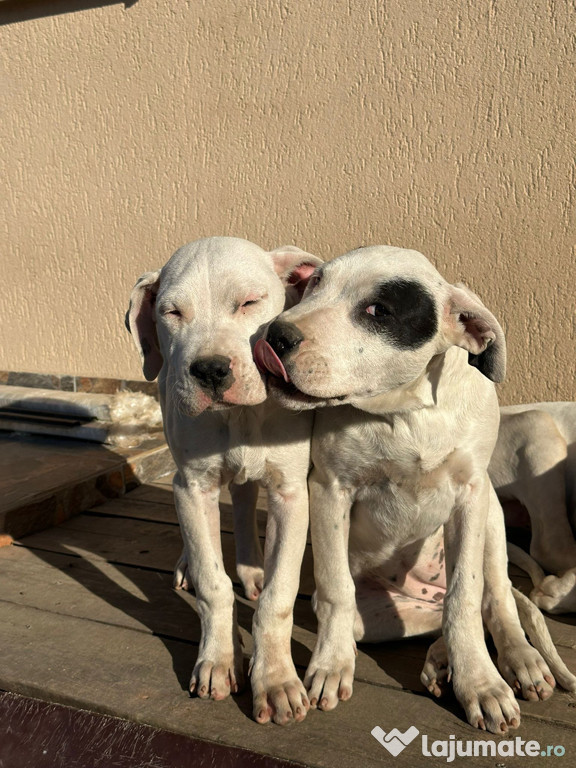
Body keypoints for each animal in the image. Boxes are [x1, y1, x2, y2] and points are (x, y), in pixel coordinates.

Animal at [126, 236, 322, 728]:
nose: (211, 370)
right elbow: (213, 584)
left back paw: (251, 569)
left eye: (250, 302)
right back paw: (188, 566)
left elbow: (279, 595)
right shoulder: (192, 488)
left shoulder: (291, 493)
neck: (238, 417)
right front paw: (218, 661)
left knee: (245, 497)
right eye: (172, 312)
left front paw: (275, 680)